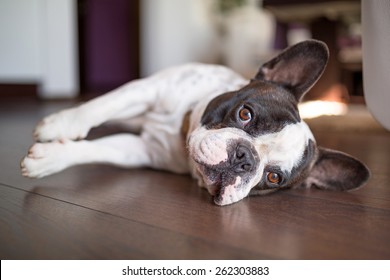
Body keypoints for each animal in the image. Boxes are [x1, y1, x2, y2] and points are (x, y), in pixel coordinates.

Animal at [20, 39, 368, 206]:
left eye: (273, 178)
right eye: (245, 114)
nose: (244, 158)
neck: (182, 127)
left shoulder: (140, 150)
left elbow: (101, 149)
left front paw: (52, 157)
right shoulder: (148, 88)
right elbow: (102, 105)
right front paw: (61, 125)